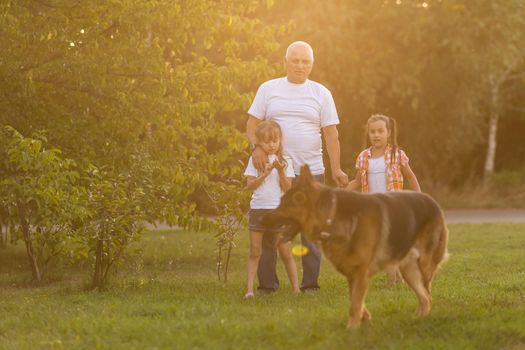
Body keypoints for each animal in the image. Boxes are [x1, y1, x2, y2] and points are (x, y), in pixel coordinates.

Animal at [262, 165, 446, 330]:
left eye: (283, 204)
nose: (262, 219)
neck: (331, 216)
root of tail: (433, 202)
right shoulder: (352, 274)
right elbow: (355, 300)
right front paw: (365, 318)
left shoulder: (360, 272)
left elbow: (355, 304)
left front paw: (351, 329)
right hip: (408, 269)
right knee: (425, 298)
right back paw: (417, 318)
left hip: (424, 266)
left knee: (427, 292)